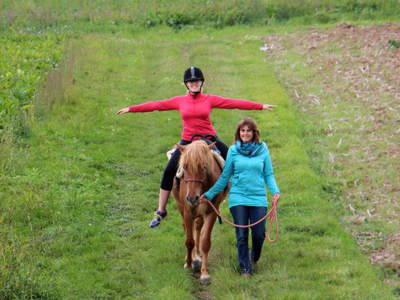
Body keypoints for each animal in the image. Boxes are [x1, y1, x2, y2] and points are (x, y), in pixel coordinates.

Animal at [171, 139, 228, 282]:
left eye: (203, 167)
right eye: (184, 167)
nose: (192, 198)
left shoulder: (212, 212)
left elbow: (205, 243)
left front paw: (205, 273)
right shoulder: (187, 211)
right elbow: (189, 241)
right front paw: (189, 265)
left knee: (197, 226)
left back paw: (196, 257)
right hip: (181, 206)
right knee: (187, 228)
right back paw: (193, 259)